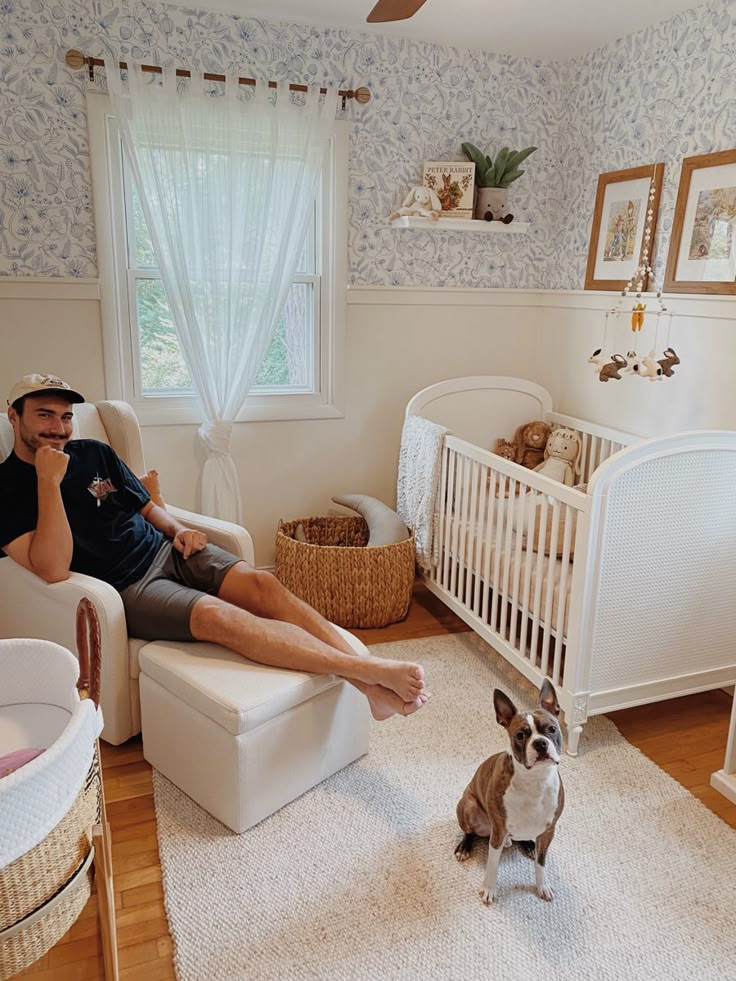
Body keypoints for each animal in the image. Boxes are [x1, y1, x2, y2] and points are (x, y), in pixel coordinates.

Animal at [454, 680, 564, 904]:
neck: (535, 780)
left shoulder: (549, 831)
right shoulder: (498, 830)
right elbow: (492, 864)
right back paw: (464, 847)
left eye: (552, 729)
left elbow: (541, 862)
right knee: (469, 831)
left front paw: (543, 886)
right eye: (520, 735)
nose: (540, 742)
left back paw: (529, 845)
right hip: (469, 805)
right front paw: (489, 889)